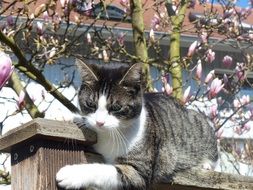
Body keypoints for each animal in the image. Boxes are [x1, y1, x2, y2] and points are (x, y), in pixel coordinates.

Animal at [56, 58, 218, 189]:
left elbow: (108, 170)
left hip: (201, 124)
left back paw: (206, 164)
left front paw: (72, 173)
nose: (99, 122)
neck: (110, 135)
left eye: (116, 107)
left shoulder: (140, 171)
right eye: (90, 104)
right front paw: (69, 117)